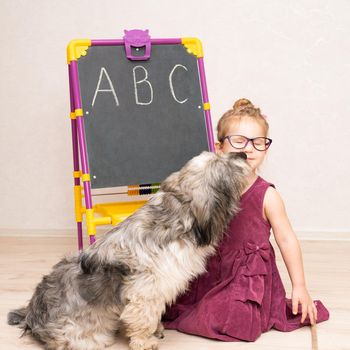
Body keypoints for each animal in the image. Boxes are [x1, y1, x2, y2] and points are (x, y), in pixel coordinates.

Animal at [7, 151, 249, 350]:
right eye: (223, 164)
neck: (175, 214)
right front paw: (144, 341)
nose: (243, 154)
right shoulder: (147, 290)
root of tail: (31, 315)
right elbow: (144, 317)